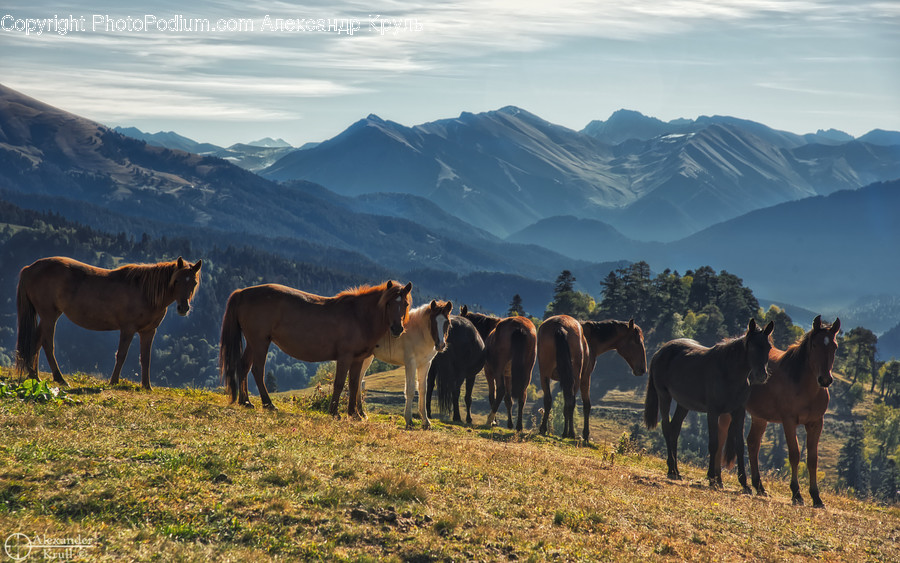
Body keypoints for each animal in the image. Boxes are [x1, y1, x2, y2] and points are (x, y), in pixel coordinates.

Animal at [15, 256, 202, 389]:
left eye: (193, 282)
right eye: (176, 281)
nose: (183, 308)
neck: (145, 292)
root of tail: (29, 269)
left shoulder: (148, 331)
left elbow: (146, 358)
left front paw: (146, 386)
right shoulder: (128, 329)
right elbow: (121, 355)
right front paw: (113, 382)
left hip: (48, 316)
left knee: (35, 341)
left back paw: (34, 376)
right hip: (49, 316)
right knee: (47, 344)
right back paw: (59, 379)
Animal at [219, 280, 412, 414]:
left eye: (405, 304)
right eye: (388, 303)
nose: (397, 328)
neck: (359, 316)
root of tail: (242, 293)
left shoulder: (358, 359)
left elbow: (354, 384)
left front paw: (353, 414)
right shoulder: (345, 357)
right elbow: (339, 383)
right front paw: (334, 413)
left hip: (253, 342)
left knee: (244, 367)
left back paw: (245, 401)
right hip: (260, 342)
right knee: (257, 370)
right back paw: (268, 404)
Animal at [358, 300, 452, 429]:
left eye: (447, 322)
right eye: (433, 321)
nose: (441, 345)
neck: (419, 333)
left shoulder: (425, 364)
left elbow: (423, 390)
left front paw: (426, 422)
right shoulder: (410, 363)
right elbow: (410, 390)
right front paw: (409, 420)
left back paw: (361, 413)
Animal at [644, 319, 774, 489]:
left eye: (769, 347)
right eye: (752, 346)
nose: (762, 375)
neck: (728, 372)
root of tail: (660, 352)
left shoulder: (739, 412)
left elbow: (739, 445)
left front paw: (744, 483)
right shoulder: (713, 412)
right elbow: (714, 444)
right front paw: (712, 478)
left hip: (683, 404)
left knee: (674, 429)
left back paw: (676, 471)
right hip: (664, 396)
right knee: (666, 427)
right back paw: (671, 469)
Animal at [730, 315, 841, 507]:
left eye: (834, 346)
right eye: (814, 345)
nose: (825, 379)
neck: (804, 387)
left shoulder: (816, 423)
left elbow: (813, 459)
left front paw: (816, 497)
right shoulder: (789, 421)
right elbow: (794, 454)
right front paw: (796, 494)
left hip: (760, 417)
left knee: (753, 443)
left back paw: (759, 486)